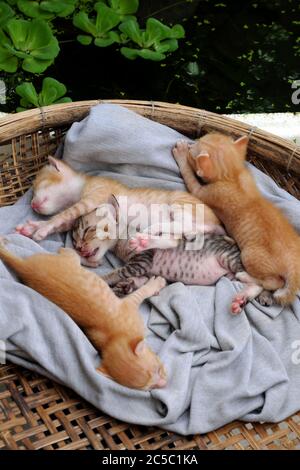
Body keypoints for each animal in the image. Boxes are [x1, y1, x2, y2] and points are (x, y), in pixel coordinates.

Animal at [0, 239, 166, 390]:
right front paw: (156, 283)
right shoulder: (128, 306)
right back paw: (89, 260)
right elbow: (142, 292)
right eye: (150, 387)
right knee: (68, 251)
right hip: (69, 259)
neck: (115, 337)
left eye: (158, 370)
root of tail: (24, 267)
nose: (164, 383)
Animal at [171, 135, 300, 312]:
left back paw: (245, 276)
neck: (232, 175)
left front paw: (181, 152)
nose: (191, 141)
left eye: (193, 151)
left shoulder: (207, 192)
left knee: (273, 282)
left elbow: (189, 177)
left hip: (248, 256)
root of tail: (295, 267)